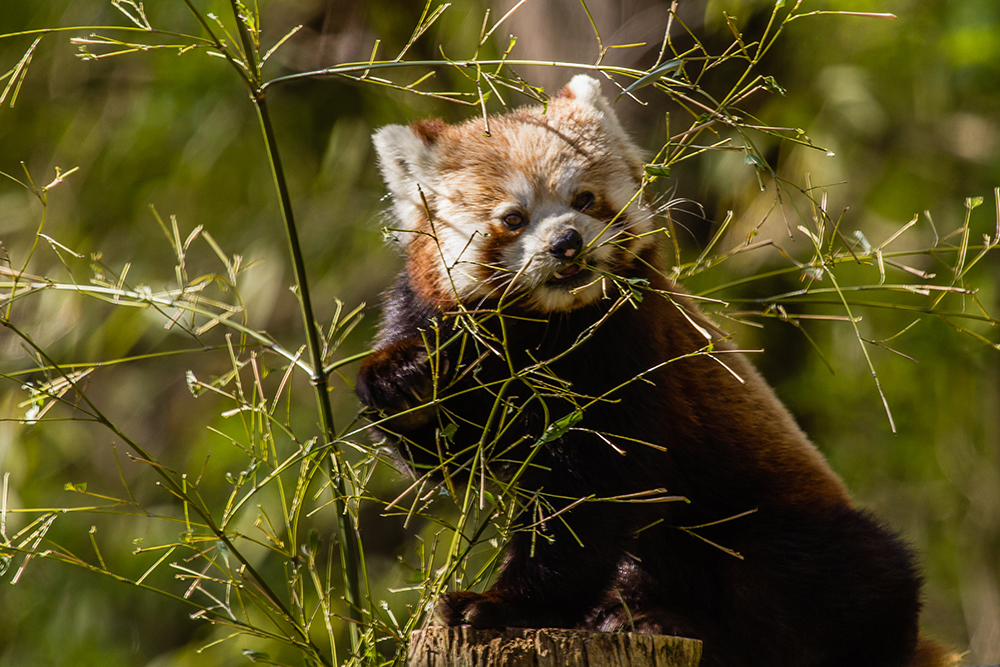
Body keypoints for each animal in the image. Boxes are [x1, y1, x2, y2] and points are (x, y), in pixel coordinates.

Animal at [356, 74, 956, 667]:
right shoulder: (437, 319)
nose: (566, 242)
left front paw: (505, 605)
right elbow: (449, 456)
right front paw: (403, 384)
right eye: (512, 218)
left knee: (797, 580)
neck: (540, 327)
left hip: (778, 524)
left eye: (584, 199)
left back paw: (673, 621)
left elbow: (592, 494)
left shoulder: (627, 345)